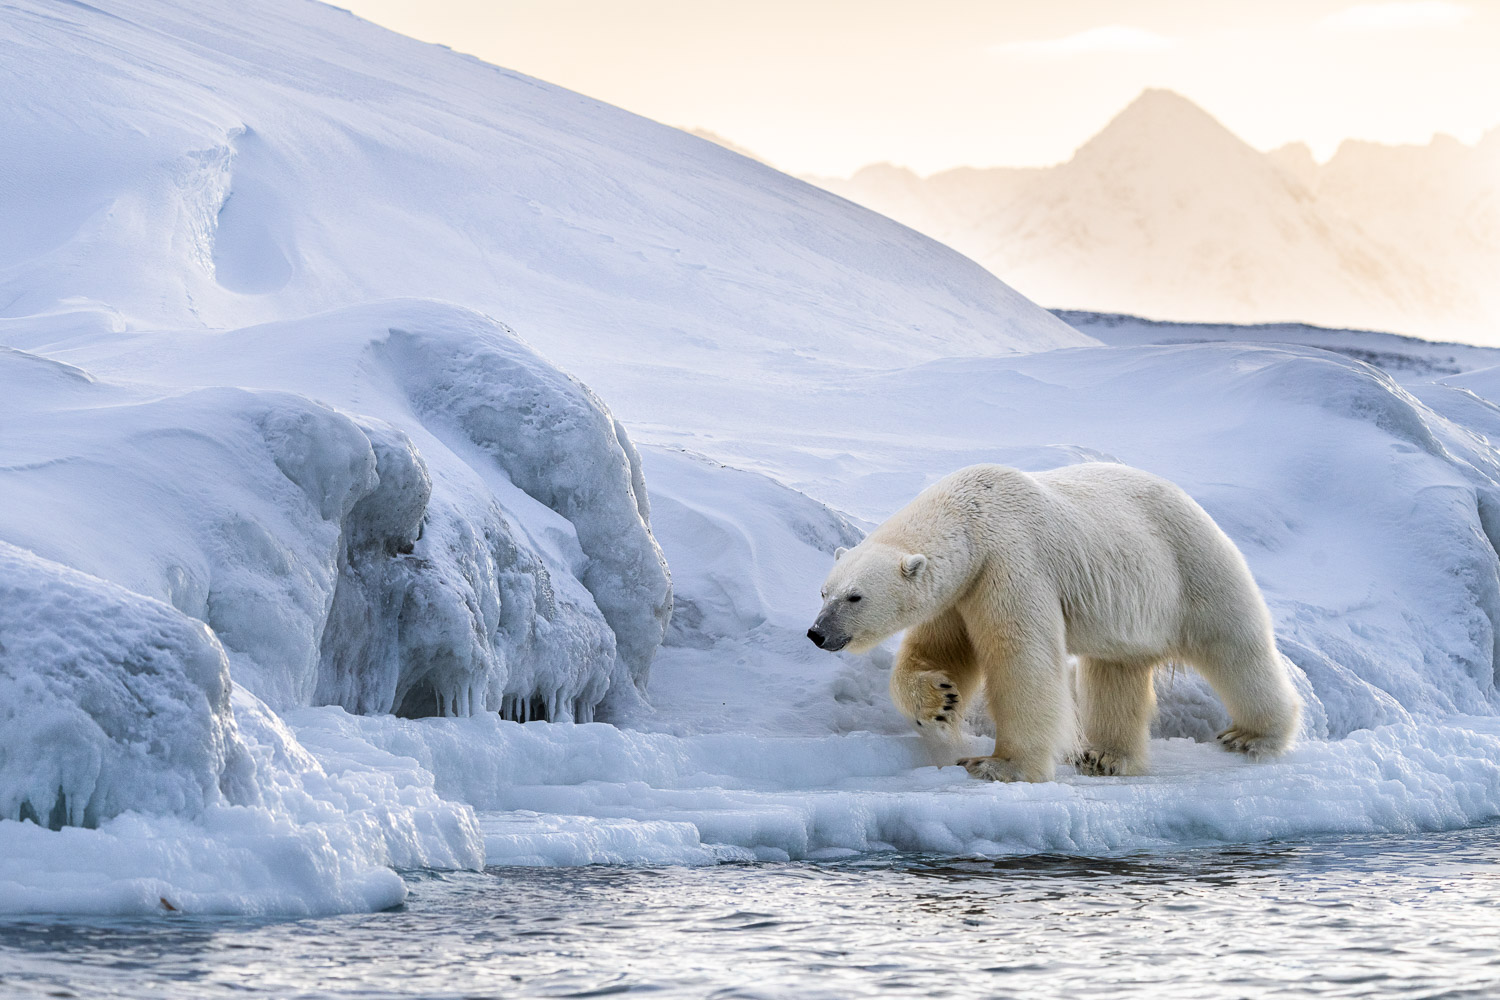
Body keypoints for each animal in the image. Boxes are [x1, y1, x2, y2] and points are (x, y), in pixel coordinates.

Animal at [807, 463, 1301, 782]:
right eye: (824, 591)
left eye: (855, 596)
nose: (817, 633)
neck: (972, 515)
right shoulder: (962, 590)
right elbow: (938, 649)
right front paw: (940, 703)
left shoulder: (1009, 563)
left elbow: (1021, 661)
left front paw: (997, 765)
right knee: (1114, 672)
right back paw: (1105, 757)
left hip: (1192, 566)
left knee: (1235, 646)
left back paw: (1251, 737)